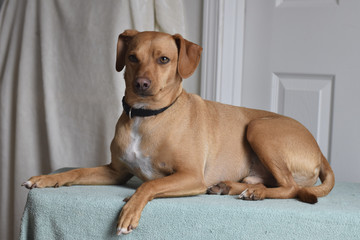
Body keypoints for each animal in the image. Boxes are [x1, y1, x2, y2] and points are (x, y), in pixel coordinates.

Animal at [22, 29, 334, 234]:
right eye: (132, 57)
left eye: (164, 59)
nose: (142, 84)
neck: (147, 117)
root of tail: (320, 151)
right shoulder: (115, 172)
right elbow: (76, 172)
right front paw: (46, 179)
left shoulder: (191, 175)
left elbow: (149, 185)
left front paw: (130, 209)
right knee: (269, 183)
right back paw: (231, 187)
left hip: (259, 128)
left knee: (290, 186)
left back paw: (255, 193)